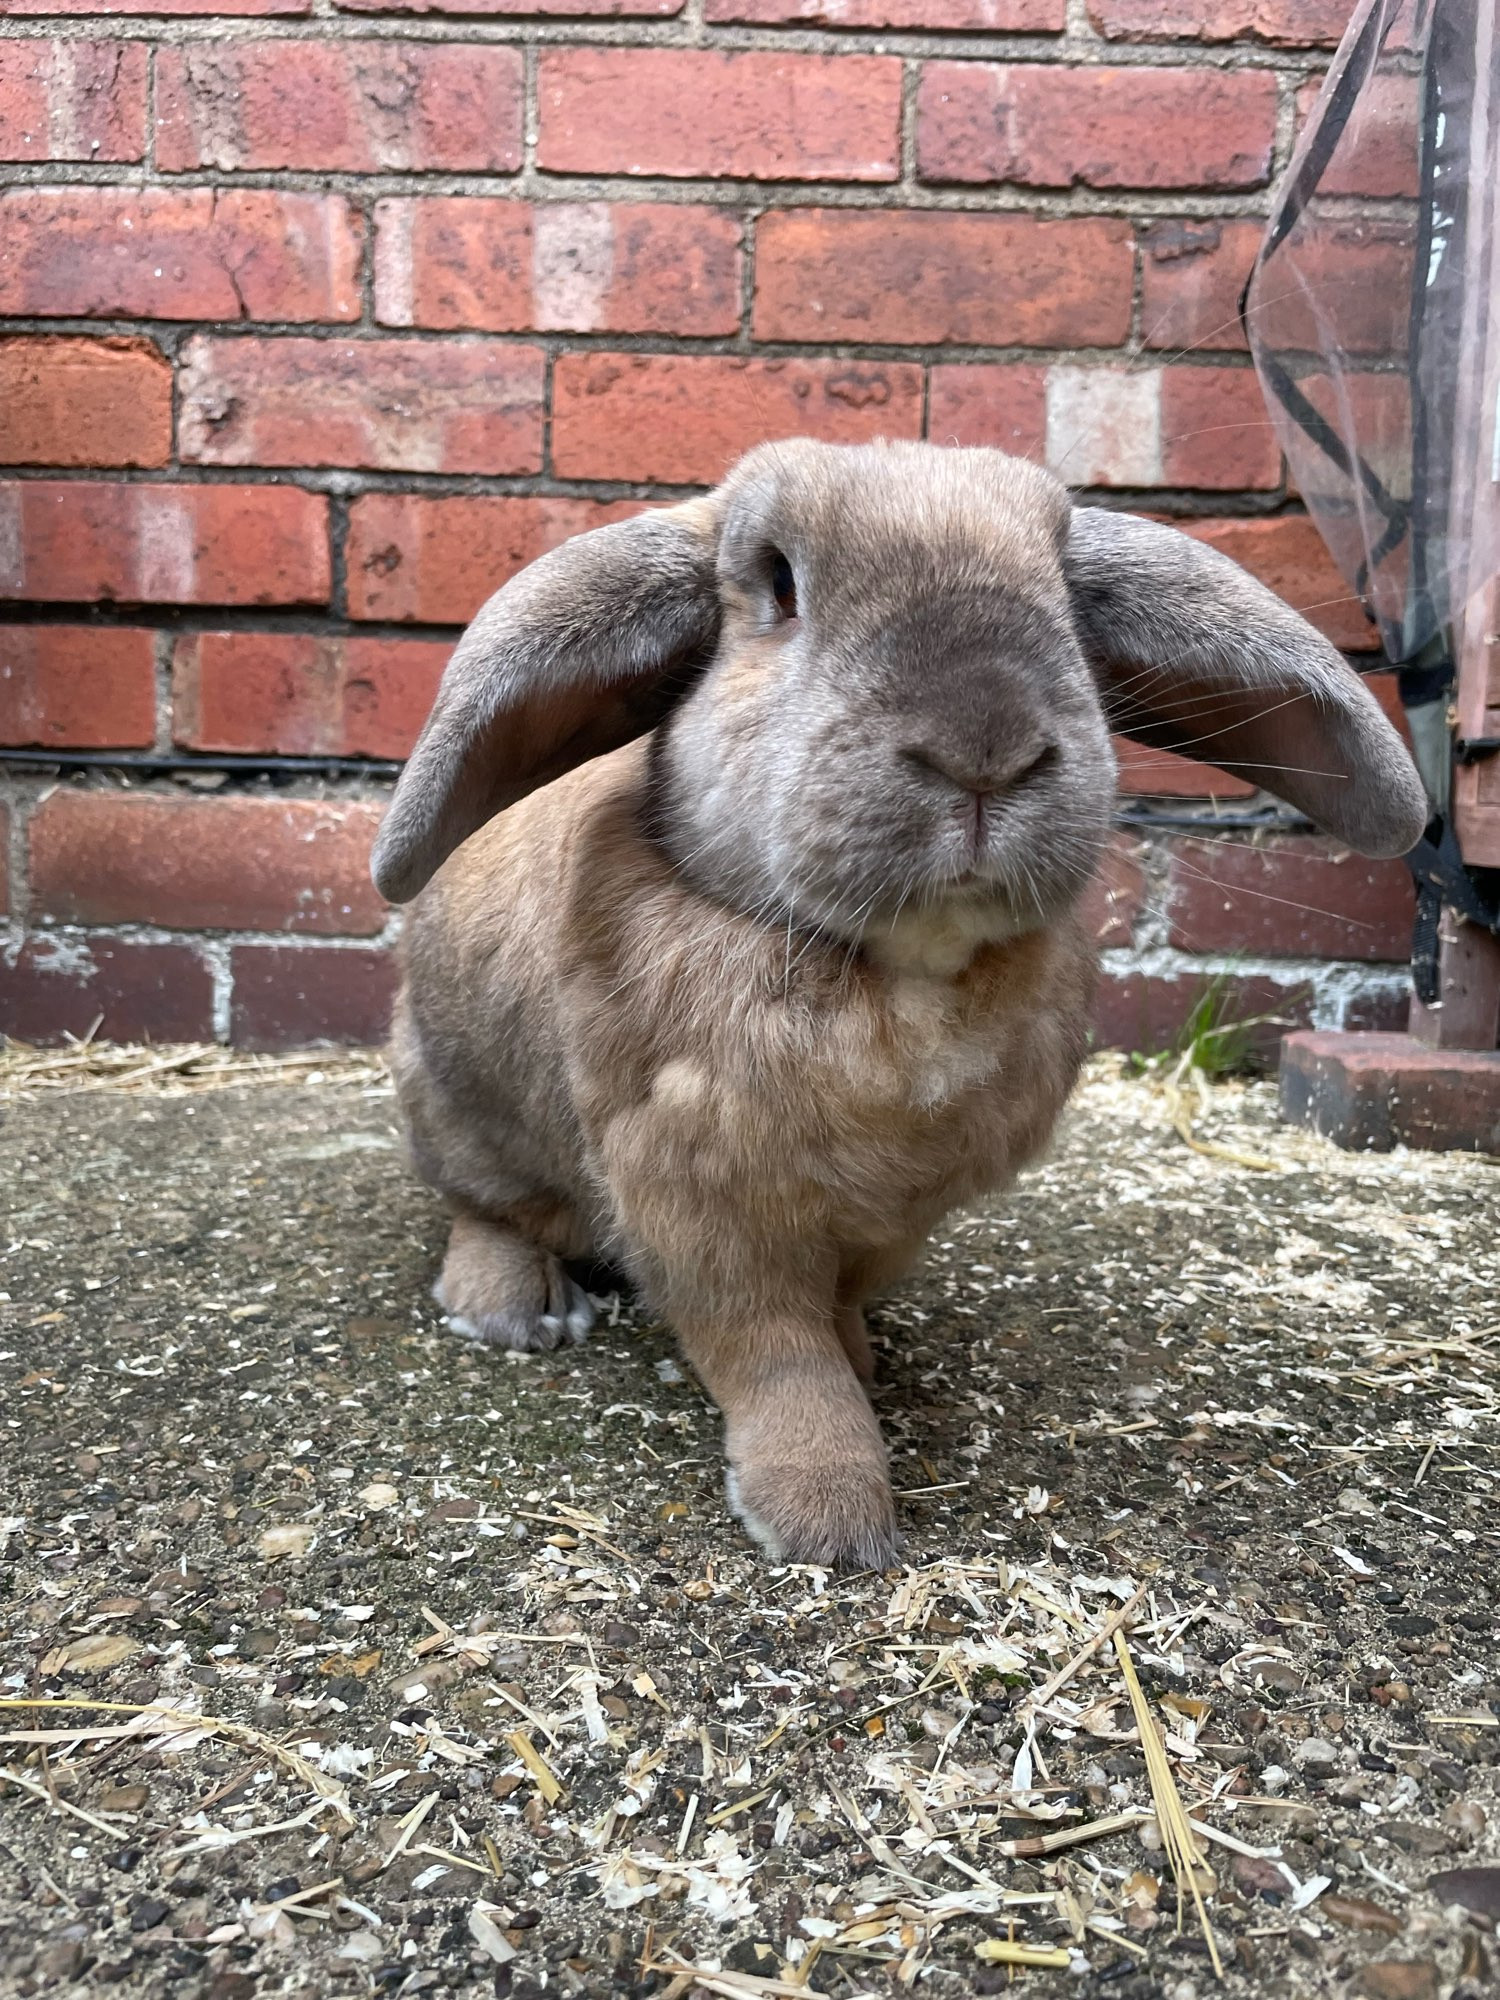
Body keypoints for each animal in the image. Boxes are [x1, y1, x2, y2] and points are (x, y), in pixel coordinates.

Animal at [370, 434, 1424, 1560]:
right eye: (780, 583)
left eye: (1064, 588)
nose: (986, 748)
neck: (903, 982)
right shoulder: (699, 1212)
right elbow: (777, 1358)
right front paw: (825, 1516)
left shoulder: (897, 1219)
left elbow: (836, 1315)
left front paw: (867, 1365)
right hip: (455, 1109)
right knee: (484, 1209)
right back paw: (514, 1309)